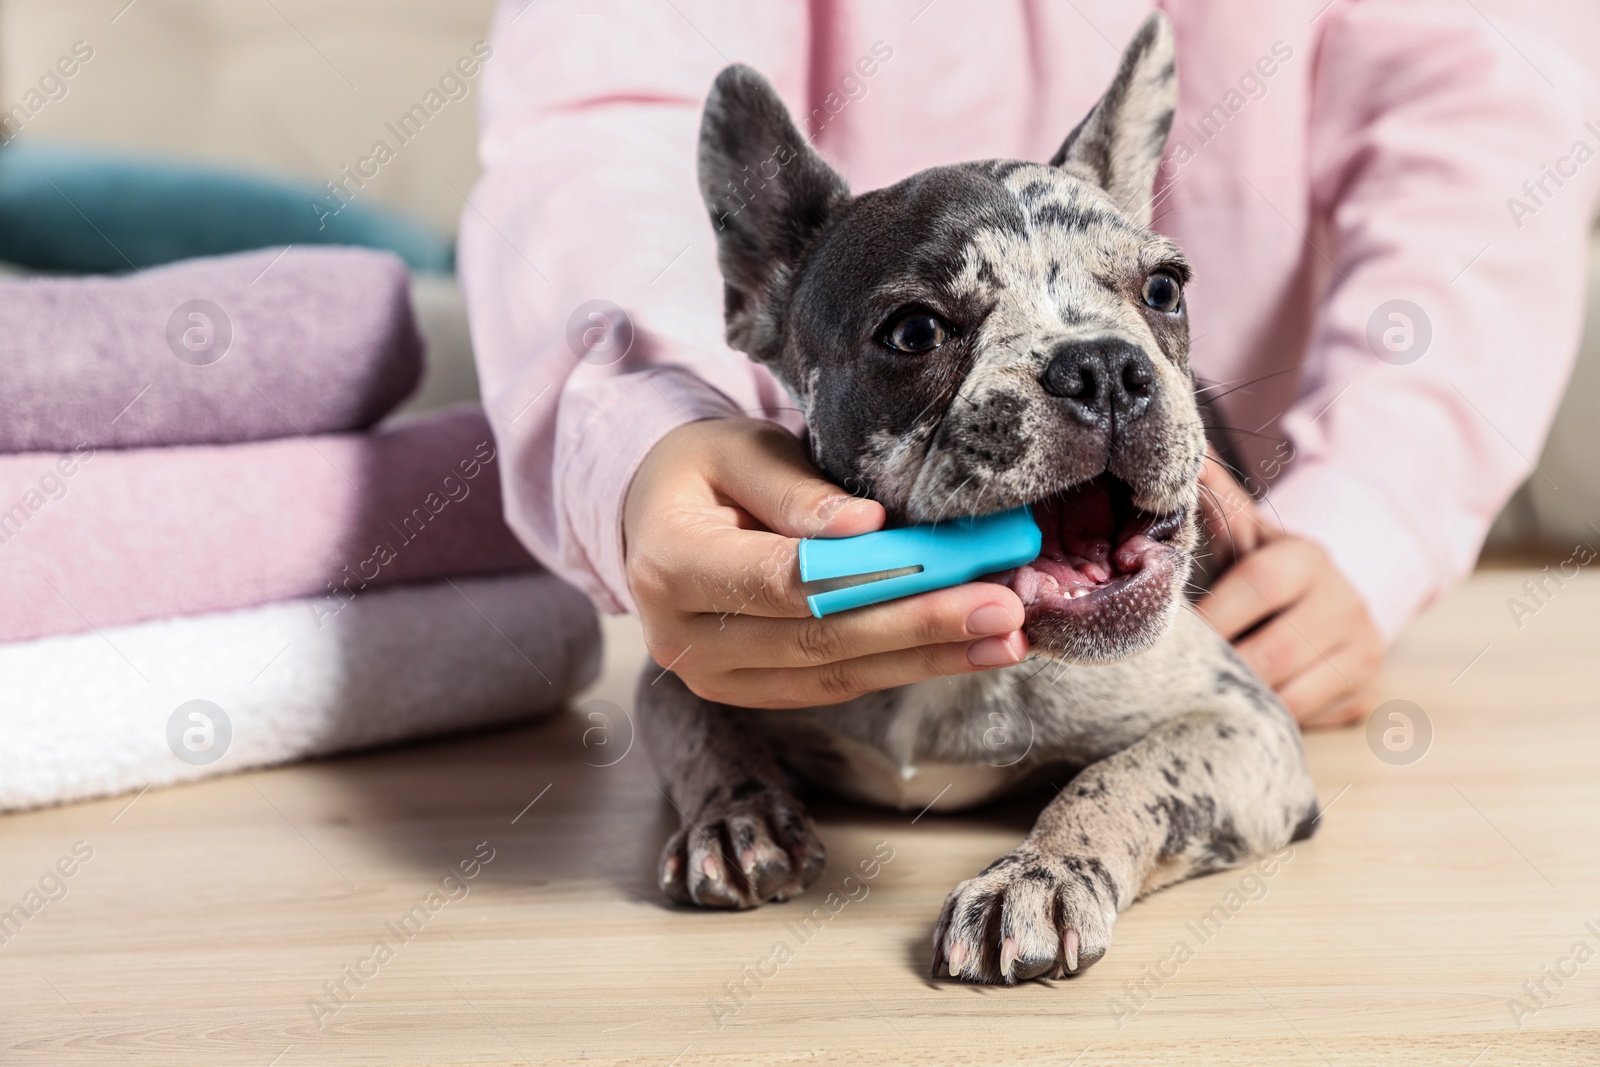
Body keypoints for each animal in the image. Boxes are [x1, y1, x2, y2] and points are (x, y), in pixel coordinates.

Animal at [630, 14, 1318, 985]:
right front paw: (735, 812)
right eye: (914, 331)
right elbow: (698, 727)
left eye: (1165, 289)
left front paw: (1039, 873)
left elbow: (1119, 776)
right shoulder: (687, 658)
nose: (1103, 364)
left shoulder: (1239, 723)